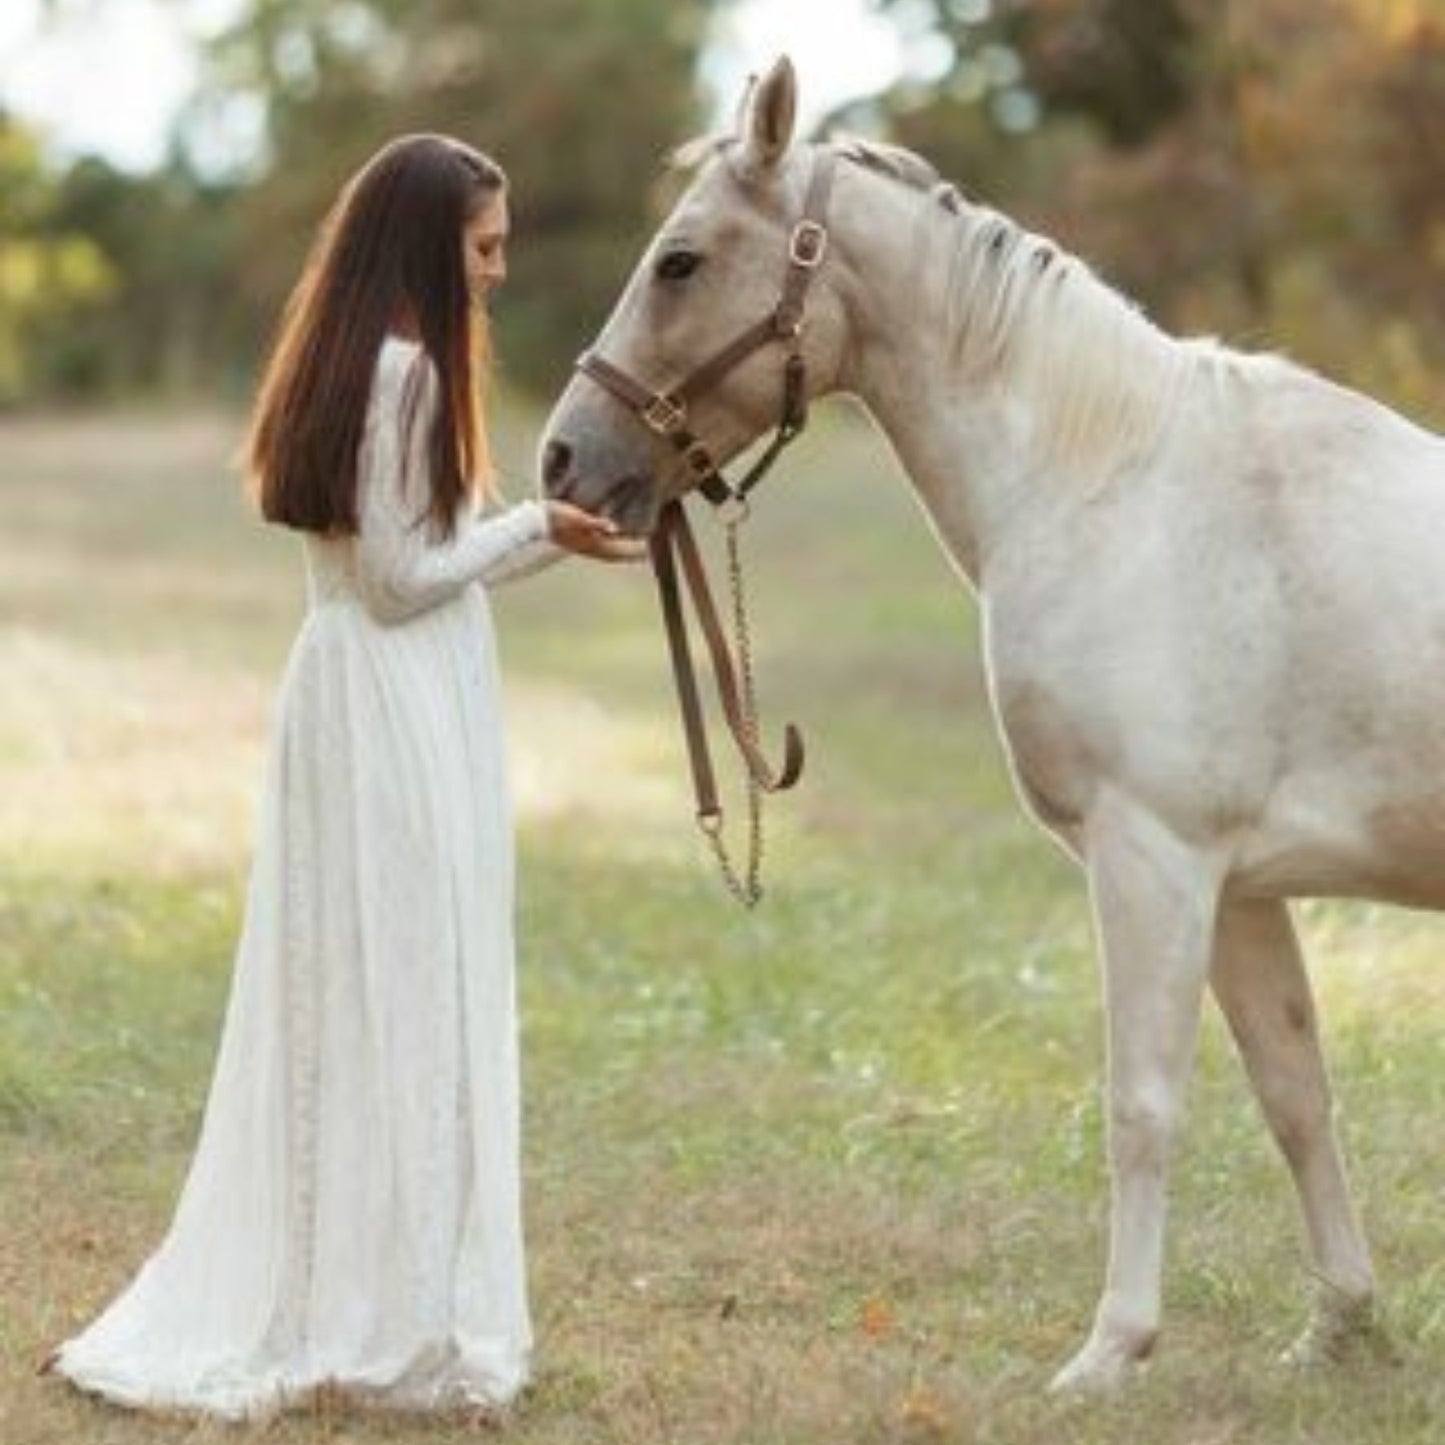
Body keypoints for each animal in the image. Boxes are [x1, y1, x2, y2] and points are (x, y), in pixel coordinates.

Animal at [537, 59, 1439, 1398]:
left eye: (679, 261)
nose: (561, 457)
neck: (1116, 484)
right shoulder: (1239, 884)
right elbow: (1292, 1092)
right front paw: (1341, 1323)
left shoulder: (1152, 855)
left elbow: (1141, 1102)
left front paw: (1110, 1349)